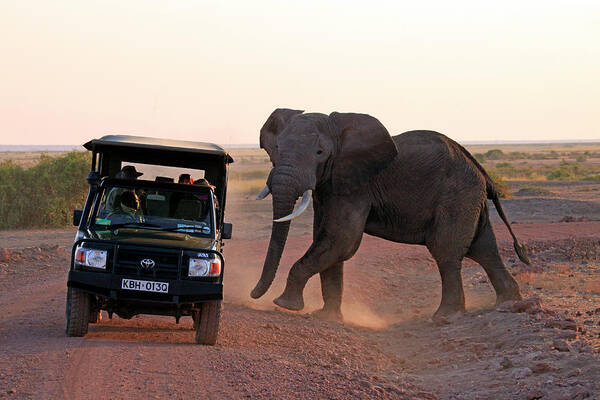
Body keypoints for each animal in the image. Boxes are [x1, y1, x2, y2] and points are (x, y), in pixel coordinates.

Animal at [251, 108, 528, 320]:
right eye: (277, 148)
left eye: (320, 153)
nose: (253, 294)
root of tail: (481, 171)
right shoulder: (330, 186)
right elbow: (329, 243)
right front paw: (326, 317)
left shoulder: (357, 186)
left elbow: (341, 240)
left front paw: (285, 305)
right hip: (469, 198)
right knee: (484, 249)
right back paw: (508, 302)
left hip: (457, 196)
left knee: (447, 252)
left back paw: (445, 317)